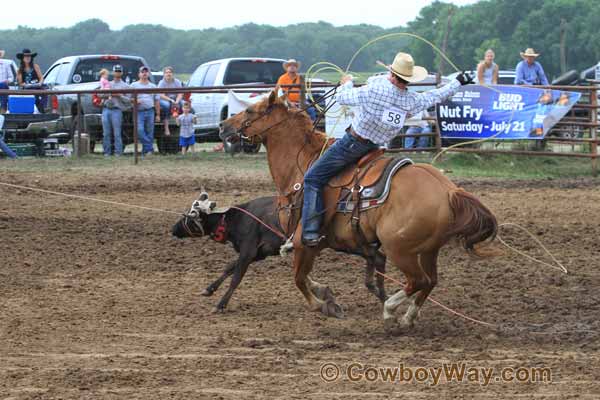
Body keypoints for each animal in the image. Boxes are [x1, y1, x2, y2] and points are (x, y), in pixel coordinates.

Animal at [220, 91, 496, 334]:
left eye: (249, 110)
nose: (223, 126)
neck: (301, 166)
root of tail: (449, 190)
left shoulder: (303, 242)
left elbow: (298, 278)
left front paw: (324, 305)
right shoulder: (329, 244)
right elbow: (309, 276)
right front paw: (325, 292)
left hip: (400, 249)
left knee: (420, 281)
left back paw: (390, 311)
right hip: (429, 250)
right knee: (431, 281)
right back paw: (408, 317)